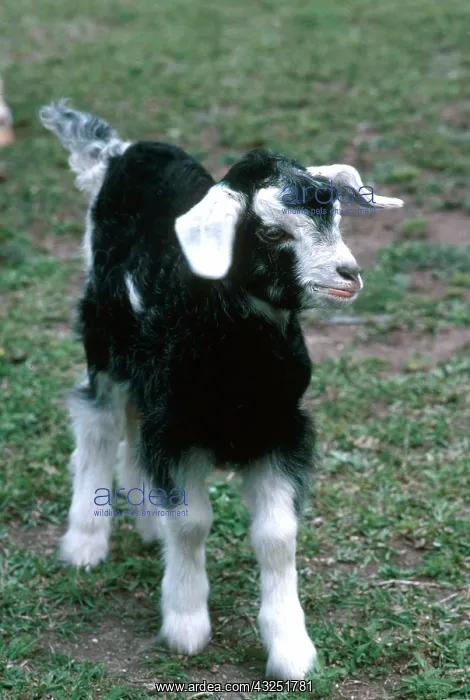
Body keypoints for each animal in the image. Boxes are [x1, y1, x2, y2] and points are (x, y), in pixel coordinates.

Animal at [40, 101, 403, 680]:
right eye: (273, 232)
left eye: (335, 217)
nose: (348, 275)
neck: (238, 363)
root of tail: (118, 153)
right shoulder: (179, 430)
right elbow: (192, 523)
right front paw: (186, 625)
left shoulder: (280, 428)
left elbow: (277, 536)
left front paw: (291, 648)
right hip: (104, 335)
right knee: (97, 422)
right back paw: (85, 543)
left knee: (132, 433)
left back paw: (147, 523)